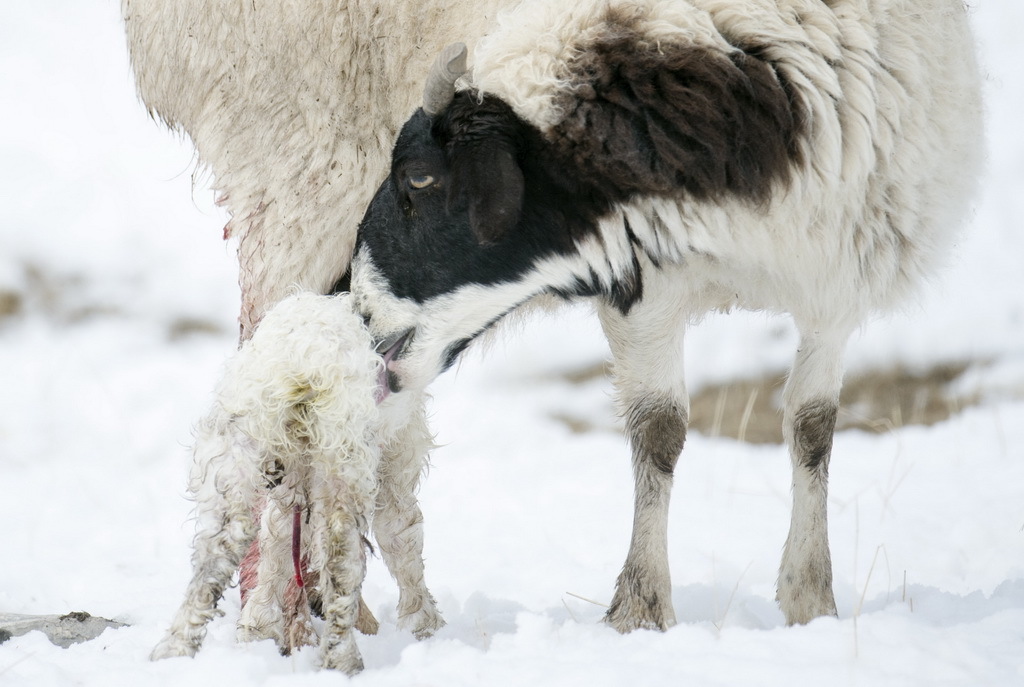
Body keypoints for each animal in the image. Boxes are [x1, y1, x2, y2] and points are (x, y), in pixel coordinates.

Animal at [150, 292, 440, 675]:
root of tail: (301, 366)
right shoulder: (397, 462)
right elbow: (402, 536)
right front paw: (423, 624)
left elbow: (276, 539)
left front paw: (258, 625)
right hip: (343, 454)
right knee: (341, 553)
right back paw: (342, 659)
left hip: (235, 451)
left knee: (220, 545)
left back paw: (175, 649)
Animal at [352, 0, 983, 634]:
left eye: (419, 177)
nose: (358, 309)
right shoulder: (642, 279)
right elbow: (659, 427)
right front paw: (642, 609)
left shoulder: (832, 275)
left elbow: (813, 427)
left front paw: (812, 602)